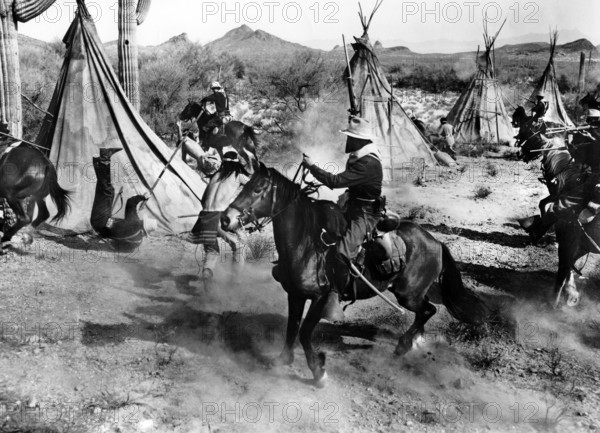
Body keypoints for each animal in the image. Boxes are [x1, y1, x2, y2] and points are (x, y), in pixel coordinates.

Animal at [221, 162, 492, 384]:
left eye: (258, 189)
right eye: (245, 185)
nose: (225, 219)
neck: (306, 244)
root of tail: (436, 242)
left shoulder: (321, 298)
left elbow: (305, 332)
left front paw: (318, 372)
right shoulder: (295, 294)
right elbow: (292, 328)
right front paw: (282, 360)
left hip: (407, 295)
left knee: (429, 310)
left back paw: (404, 346)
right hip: (412, 293)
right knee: (425, 311)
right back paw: (415, 341)